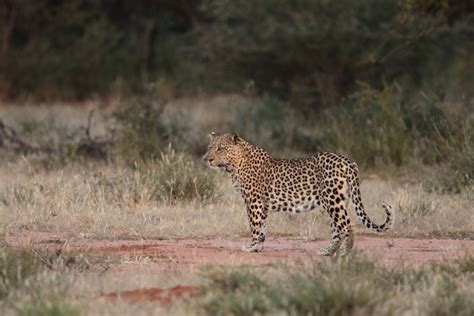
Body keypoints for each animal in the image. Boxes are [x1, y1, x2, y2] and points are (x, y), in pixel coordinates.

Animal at [204, 132, 392, 256]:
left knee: (347, 226)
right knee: (337, 229)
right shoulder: (261, 204)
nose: (208, 159)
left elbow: (255, 225)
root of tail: (348, 161)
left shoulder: (253, 201)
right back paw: (327, 251)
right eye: (210, 147)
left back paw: (344, 253)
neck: (234, 165)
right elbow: (262, 226)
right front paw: (259, 247)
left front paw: (252, 246)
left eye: (220, 148)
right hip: (337, 201)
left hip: (333, 200)